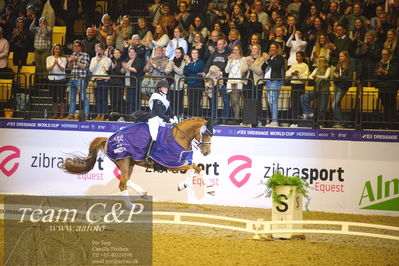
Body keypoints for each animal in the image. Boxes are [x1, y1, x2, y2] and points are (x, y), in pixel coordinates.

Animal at [61, 118, 216, 208]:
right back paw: (132, 205)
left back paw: (141, 193)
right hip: (124, 161)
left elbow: (196, 168)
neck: (178, 138)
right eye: (205, 134)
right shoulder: (171, 164)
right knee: (122, 182)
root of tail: (109, 139)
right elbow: (194, 169)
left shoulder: (181, 161)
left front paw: (196, 187)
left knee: (124, 180)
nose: (207, 152)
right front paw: (194, 187)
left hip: (129, 163)